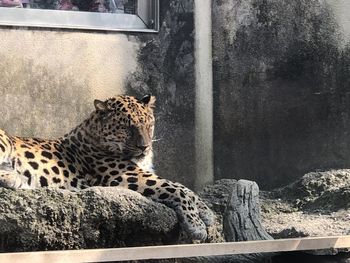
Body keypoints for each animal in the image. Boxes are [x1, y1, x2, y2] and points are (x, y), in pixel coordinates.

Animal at [0, 94, 215, 241]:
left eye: (149, 124)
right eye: (127, 127)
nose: (145, 147)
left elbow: (185, 188)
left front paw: (207, 213)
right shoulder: (127, 175)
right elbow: (177, 188)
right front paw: (197, 225)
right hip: (4, 140)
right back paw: (16, 178)